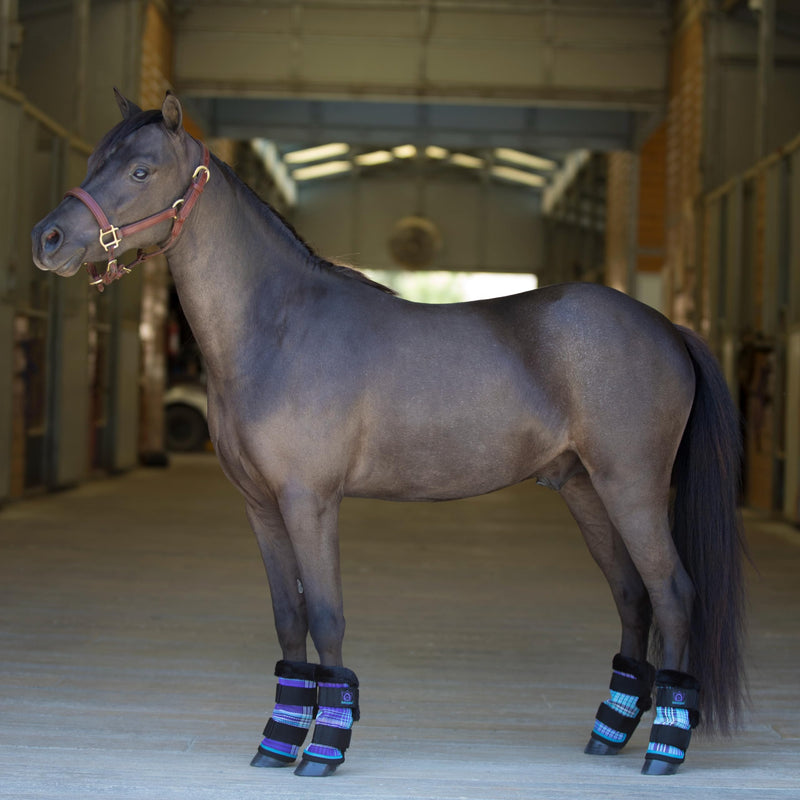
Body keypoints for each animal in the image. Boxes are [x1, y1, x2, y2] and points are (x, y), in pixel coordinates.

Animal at [32, 91, 746, 778]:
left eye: (141, 170)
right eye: (94, 159)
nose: (49, 238)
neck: (279, 330)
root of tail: (665, 327)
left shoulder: (310, 502)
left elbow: (326, 616)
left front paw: (324, 750)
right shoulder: (261, 506)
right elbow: (288, 620)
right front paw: (276, 744)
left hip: (632, 487)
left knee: (672, 595)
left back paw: (664, 752)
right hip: (585, 488)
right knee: (632, 597)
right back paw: (609, 734)